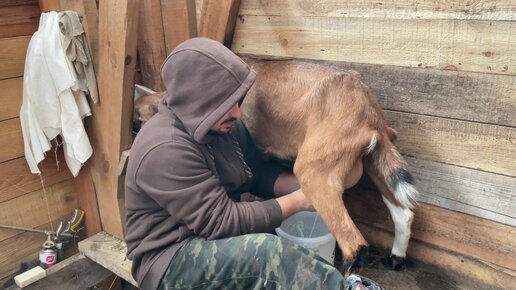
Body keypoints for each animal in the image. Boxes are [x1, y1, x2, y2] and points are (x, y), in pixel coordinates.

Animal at [240, 57, 418, 274]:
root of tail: (366, 108)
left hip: (313, 172)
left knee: (355, 245)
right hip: (377, 163)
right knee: (403, 214)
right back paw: (396, 258)